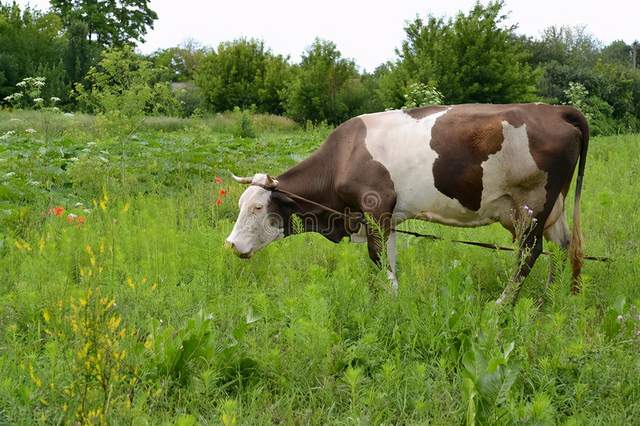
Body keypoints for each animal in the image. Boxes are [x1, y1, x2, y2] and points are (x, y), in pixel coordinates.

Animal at [225, 104, 592, 302]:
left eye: (258, 207)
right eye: (241, 204)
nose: (230, 244)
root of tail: (553, 109)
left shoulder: (375, 208)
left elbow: (378, 260)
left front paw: (390, 299)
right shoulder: (387, 216)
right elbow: (387, 257)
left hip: (531, 204)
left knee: (530, 252)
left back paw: (503, 303)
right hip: (552, 208)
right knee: (562, 247)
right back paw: (550, 298)